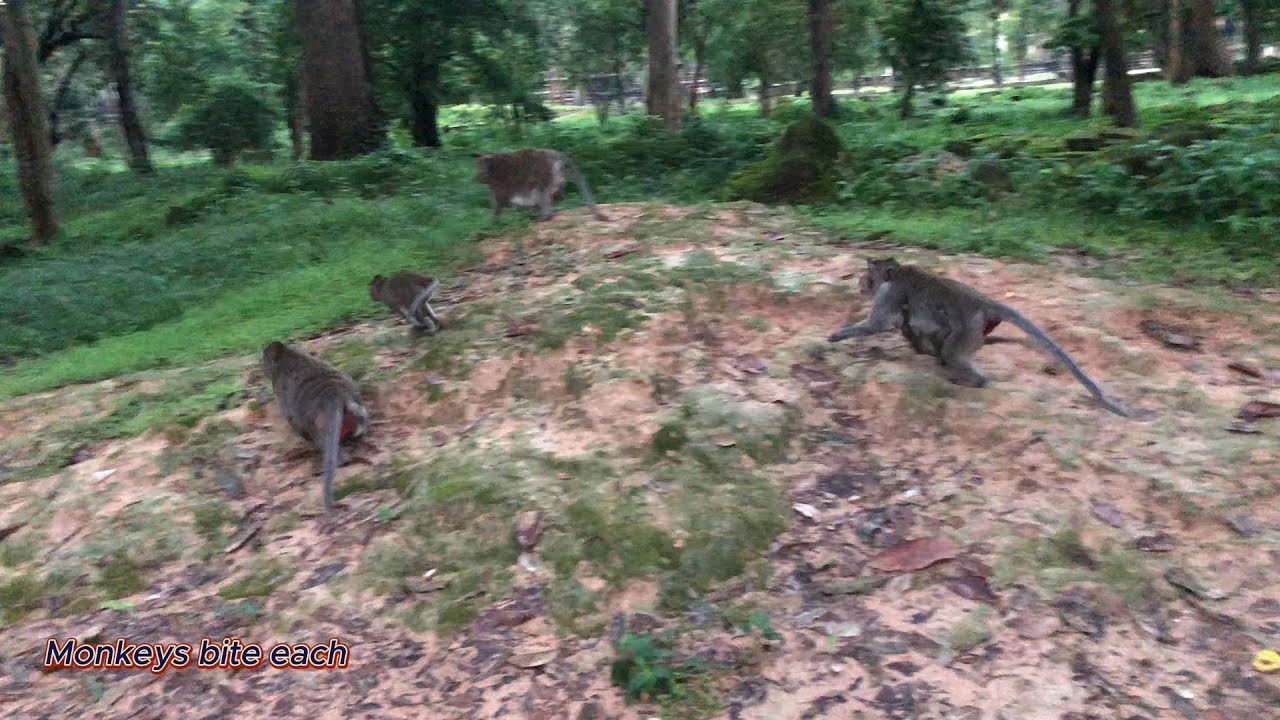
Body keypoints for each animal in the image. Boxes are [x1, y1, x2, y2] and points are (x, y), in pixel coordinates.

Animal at [261, 341, 370, 510]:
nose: (262, 367)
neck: (286, 354)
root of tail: (331, 393)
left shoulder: (279, 389)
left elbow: (293, 420)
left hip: (316, 422)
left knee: (316, 436)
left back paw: (339, 458)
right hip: (355, 405)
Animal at [474, 148, 609, 222]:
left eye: (481, 169)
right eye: (478, 168)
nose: (477, 178)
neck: (494, 168)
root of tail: (557, 156)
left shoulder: (501, 183)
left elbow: (500, 201)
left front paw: (494, 222)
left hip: (546, 171)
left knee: (539, 189)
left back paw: (545, 215)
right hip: (556, 177)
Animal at [827, 257, 1140, 418]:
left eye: (869, 275)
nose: (860, 283)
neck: (897, 274)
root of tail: (983, 302)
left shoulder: (889, 294)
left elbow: (880, 323)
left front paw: (836, 336)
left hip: (967, 330)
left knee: (954, 353)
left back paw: (970, 379)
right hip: (977, 331)